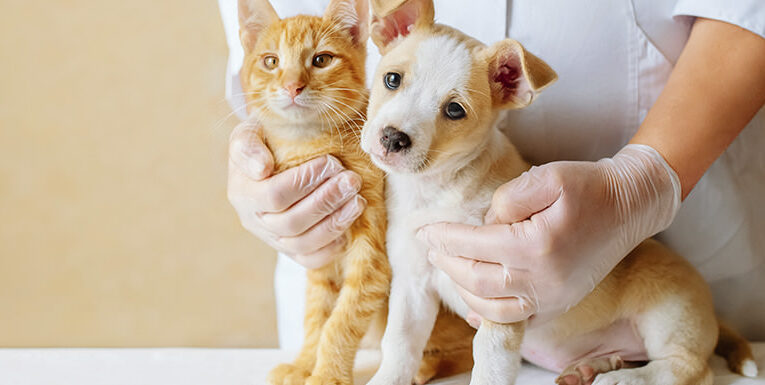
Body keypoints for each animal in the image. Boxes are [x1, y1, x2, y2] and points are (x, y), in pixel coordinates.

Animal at [236, 0, 474, 382]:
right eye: (271, 61)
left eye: (321, 59)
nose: (292, 86)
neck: (311, 143)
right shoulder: (321, 256)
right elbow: (317, 316)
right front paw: (304, 364)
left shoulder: (372, 256)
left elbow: (341, 321)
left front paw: (327, 375)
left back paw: (426, 365)